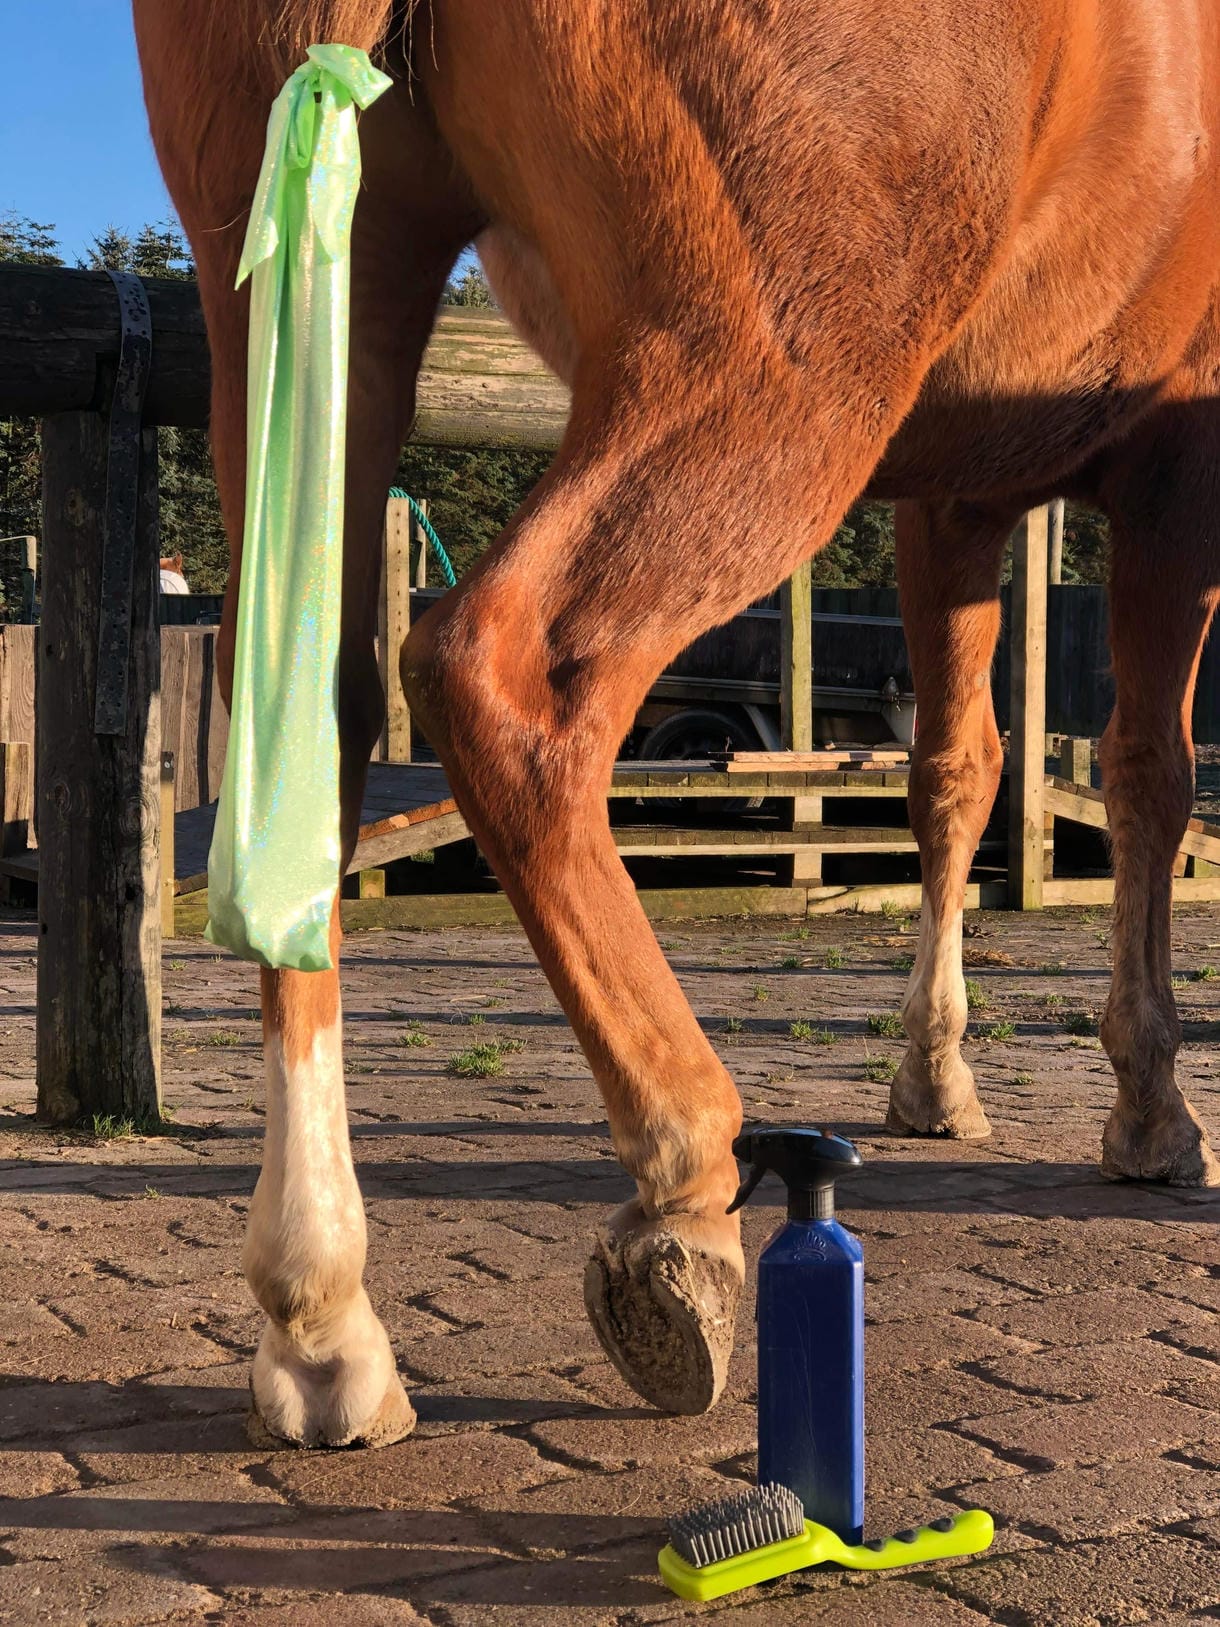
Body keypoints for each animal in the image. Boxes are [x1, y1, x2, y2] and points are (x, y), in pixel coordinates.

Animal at [132, 0, 1220, 1448]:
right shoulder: (1171, 467)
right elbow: (1151, 773)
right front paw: (1151, 1106)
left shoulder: (950, 499)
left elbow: (955, 774)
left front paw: (935, 1077)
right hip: (763, 365)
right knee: (505, 681)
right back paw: (682, 1179)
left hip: (307, 294)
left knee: (313, 720)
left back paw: (321, 1311)